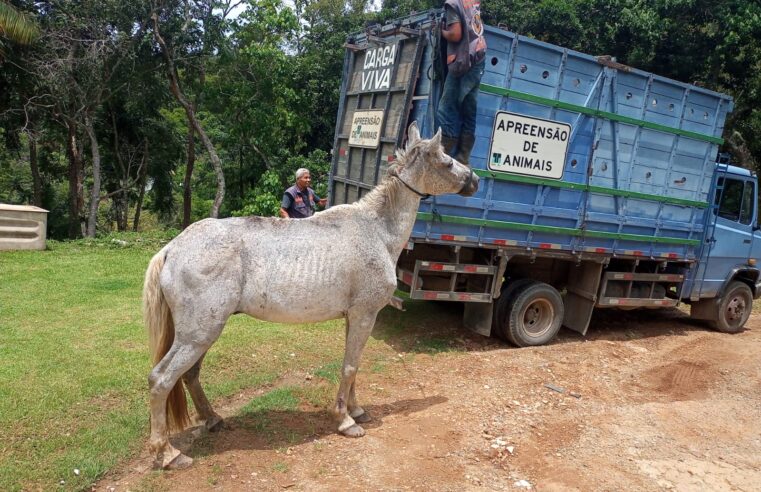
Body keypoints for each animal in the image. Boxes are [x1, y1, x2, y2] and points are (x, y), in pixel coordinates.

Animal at [143, 121, 479, 469]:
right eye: (447, 161)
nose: (474, 180)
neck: (376, 231)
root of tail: (172, 248)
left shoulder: (355, 317)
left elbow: (352, 365)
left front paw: (356, 410)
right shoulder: (365, 315)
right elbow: (350, 367)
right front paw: (346, 421)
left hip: (201, 335)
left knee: (190, 375)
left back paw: (212, 420)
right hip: (198, 335)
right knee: (161, 379)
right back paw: (168, 453)